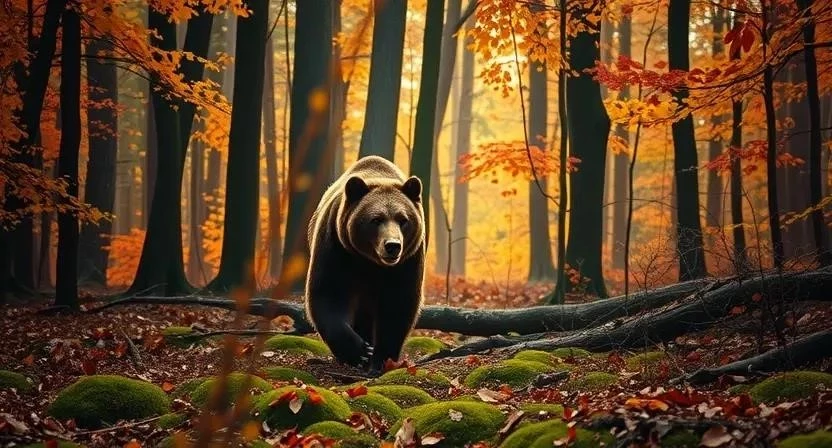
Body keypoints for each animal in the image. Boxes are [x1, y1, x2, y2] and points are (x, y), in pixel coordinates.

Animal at [304, 155, 426, 372]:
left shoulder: (407, 261)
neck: (370, 262)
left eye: (403, 219)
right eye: (376, 219)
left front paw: (381, 358)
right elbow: (328, 293)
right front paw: (360, 352)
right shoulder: (336, 248)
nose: (393, 246)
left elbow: (398, 303)